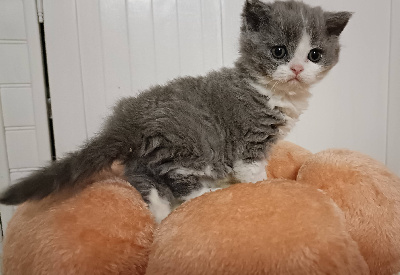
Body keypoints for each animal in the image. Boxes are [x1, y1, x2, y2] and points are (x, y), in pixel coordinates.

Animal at [0, 0, 350, 223]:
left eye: (315, 55)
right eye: (279, 51)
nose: (297, 69)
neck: (271, 90)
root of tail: (129, 117)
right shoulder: (250, 137)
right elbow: (252, 170)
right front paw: (262, 188)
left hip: (149, 151)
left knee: (139, 174)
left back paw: (159, 212)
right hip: (192, 143)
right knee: (178, 176)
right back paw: (205, 194)